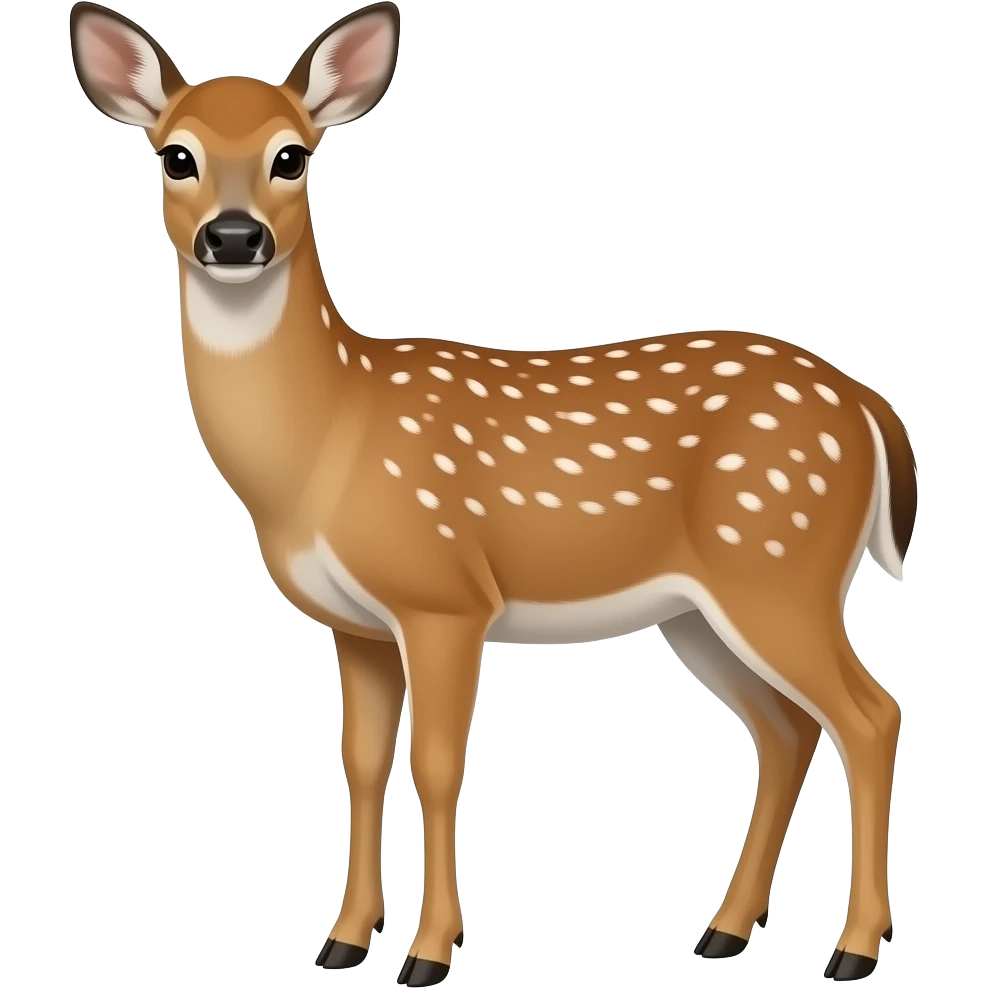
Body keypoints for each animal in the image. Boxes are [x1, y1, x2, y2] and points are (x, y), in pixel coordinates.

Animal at [69, 2, 915, 984]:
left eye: (293, 155)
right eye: (176, 154)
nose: (235, 237)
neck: (328, 441)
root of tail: (868, 406)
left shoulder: (444, 596)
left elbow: (437, 767)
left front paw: (428, 954)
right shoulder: (358, 626)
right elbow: (362, 765)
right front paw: (343, 942)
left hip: (780, 566)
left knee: (870, 715)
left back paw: (851, 949)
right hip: (701, 610)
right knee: (784, 731)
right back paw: (723, 932)